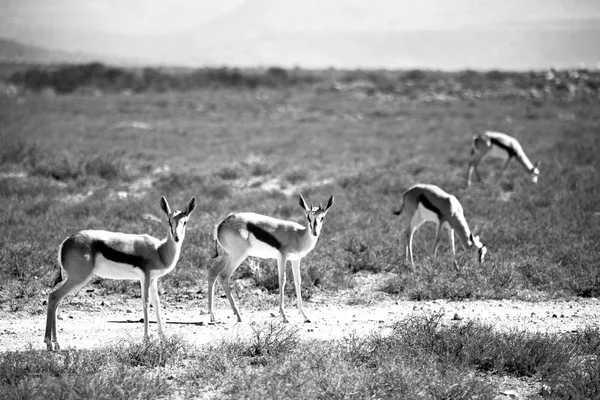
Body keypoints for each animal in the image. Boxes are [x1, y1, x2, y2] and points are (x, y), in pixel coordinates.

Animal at [45, 196, 195, 350]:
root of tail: (65, 242)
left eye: (185, 221)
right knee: (53, 296)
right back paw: (49, 343)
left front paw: (163, 339)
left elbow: (157, 304)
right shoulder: (145, 277)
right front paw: (146, 340)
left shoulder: (153, 279)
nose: (176, 237)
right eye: (169, 221)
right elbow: (146, 303)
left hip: (74, 279)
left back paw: (56, 344)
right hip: (78, 278)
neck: (159, 251)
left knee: (57, 300)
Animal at [209, 195, 336, 324]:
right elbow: (282, 280)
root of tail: (221, 224)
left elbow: (298, 281)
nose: (315, 232)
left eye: (322, 217)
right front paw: (284, 316)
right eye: (308, 217)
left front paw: (305, 316)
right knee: (224, 276)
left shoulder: (295, 259)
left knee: (213, 272)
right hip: (238, 256)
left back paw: (213, 315)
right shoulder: (282, 257)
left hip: (227, 255)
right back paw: (239, 316)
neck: (298, 236)